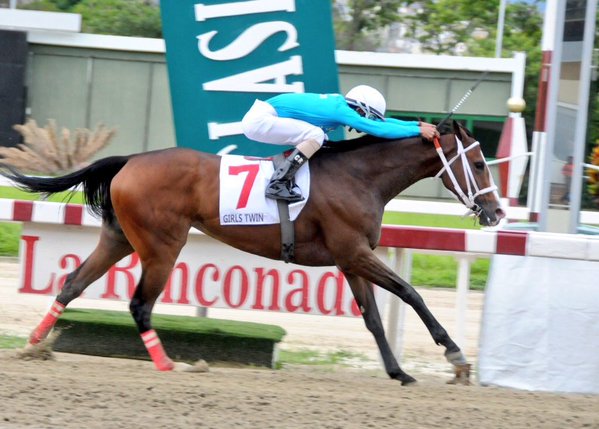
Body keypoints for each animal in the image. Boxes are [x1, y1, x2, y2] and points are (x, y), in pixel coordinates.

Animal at [1, 119, 506, 384]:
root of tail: (131, 160)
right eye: (480, 163)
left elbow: (375, 318)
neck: (359, 176)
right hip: (163, 244)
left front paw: (399, 371)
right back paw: (170, 363)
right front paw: (456, 358)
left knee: (72, 283)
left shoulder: (350, 259)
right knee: (140, 303)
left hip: (119, 237)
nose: (497, 212)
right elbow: (410, 293)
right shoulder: (355, 252)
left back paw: (33, 346)